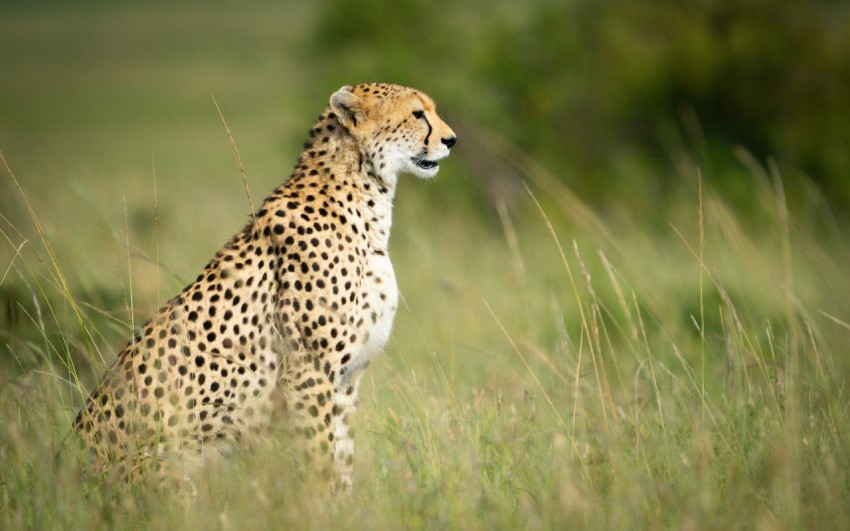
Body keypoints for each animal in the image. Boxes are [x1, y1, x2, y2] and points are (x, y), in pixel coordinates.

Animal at [73, 82, 458, 490]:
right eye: (417, 114)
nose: (451, 140)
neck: (366, 195)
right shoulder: (309, 372)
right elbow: (321, 455)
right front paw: (322, 500)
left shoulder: (346, 379)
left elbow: (342, 458)